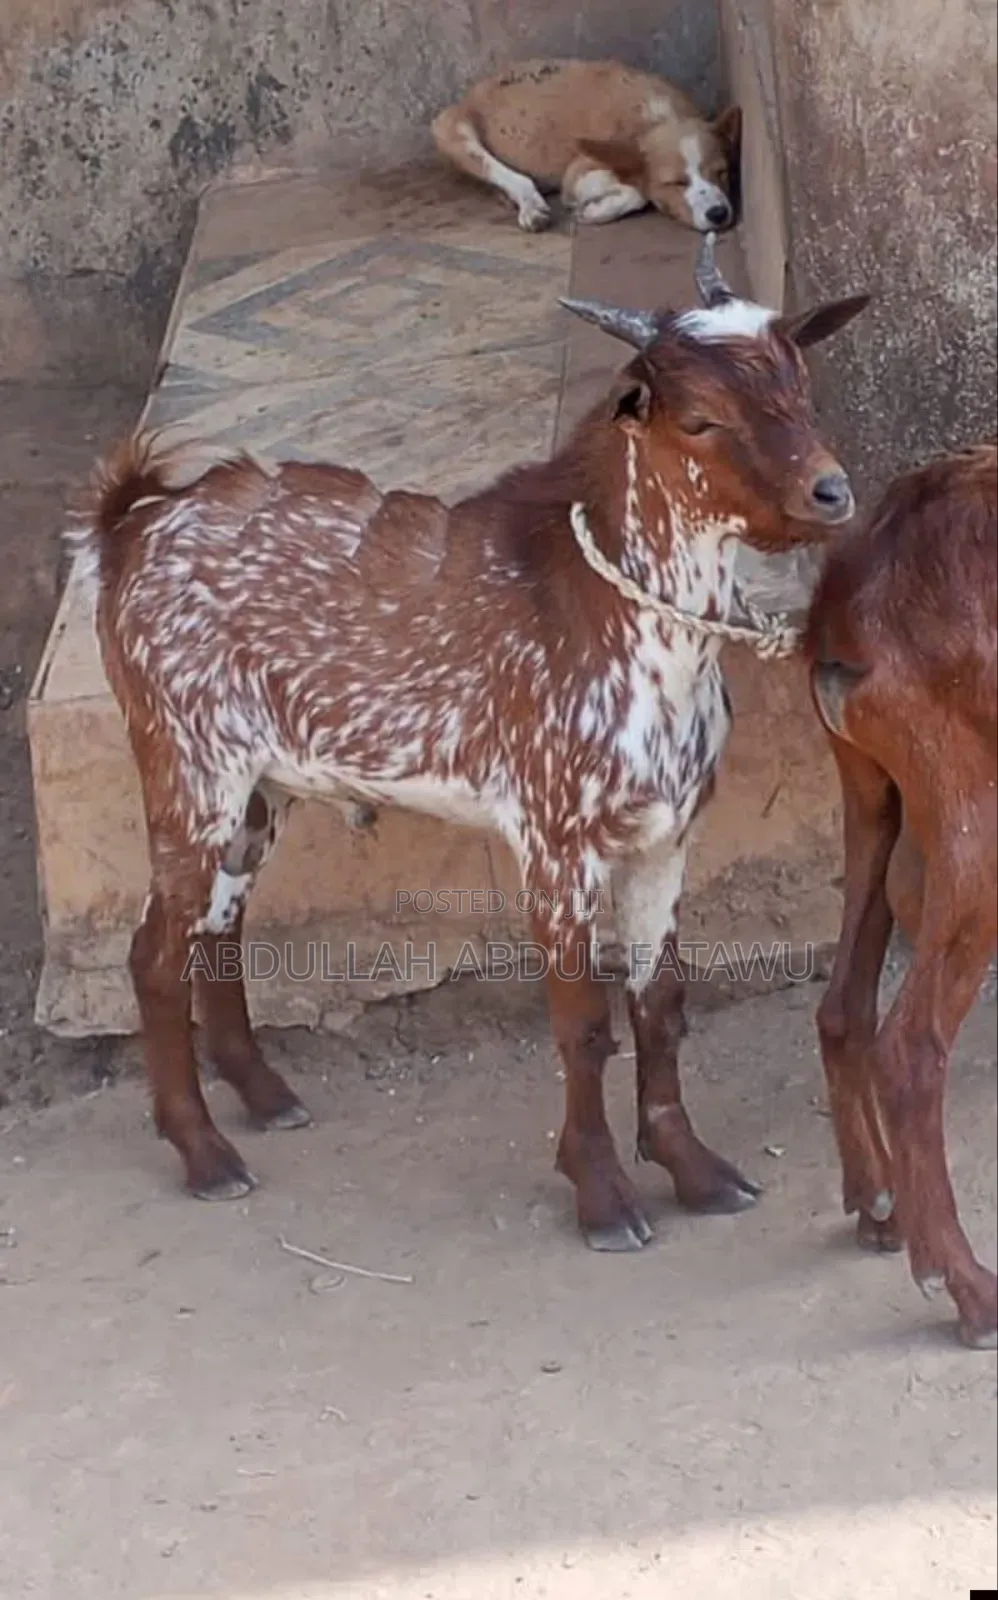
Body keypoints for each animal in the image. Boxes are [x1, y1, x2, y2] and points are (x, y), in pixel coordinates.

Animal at [72, 236, 868, 1250]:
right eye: (700, 420)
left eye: (800, 383)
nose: (831, 491)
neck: (615, 617)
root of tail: (130, 525)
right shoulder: (555, 838)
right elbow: (582, 1024)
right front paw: (602, 1195)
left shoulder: (664, 837)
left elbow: (660, 1005)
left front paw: (694, 1170)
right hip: (187, 761)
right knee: (152, 952)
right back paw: (204, 1153)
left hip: (258, 789)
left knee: (218, 927)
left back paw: (266, 1097)